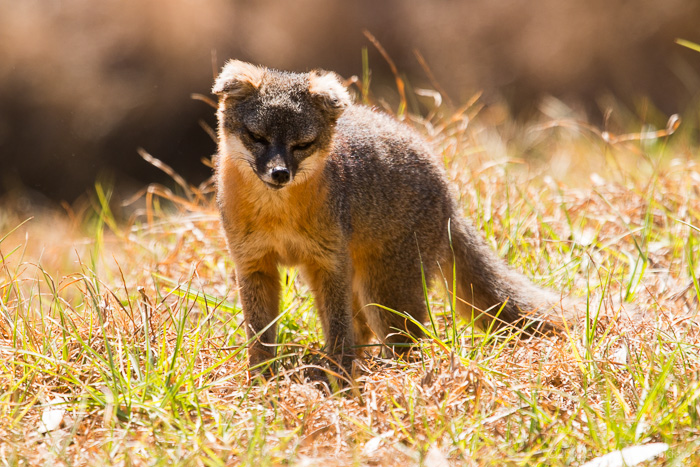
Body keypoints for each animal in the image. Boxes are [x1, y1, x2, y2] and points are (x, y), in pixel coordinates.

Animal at [211, 59, 568, 380]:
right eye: (257, 137)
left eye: (302, 145)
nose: (280, 173)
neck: (278, 215)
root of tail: (448, 192)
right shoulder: (254, 264)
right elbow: (260, 333)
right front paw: (260, 377)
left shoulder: (329, 264)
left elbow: (338, 327)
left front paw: (339, 376)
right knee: (365, 330)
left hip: (382, 291)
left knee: (402, 341)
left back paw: (386, 372)